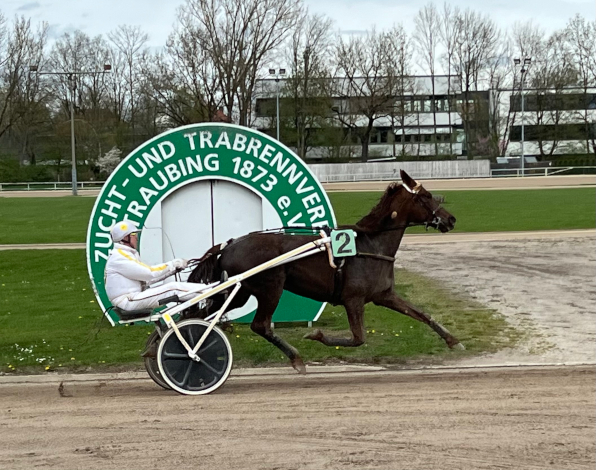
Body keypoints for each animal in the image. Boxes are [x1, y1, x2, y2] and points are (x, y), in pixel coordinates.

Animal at [190, 169, 460, 370]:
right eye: (426, 196)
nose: (451, 219)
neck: (370, 244)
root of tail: (228, 245)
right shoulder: (353, 299)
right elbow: (359, 338)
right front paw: (315, 335)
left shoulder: (384, 295)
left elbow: (421, 313)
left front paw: (453, 340)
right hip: (270, 287)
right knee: (260, 325)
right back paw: (296, 358)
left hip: (239, 293)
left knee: (198, 316)